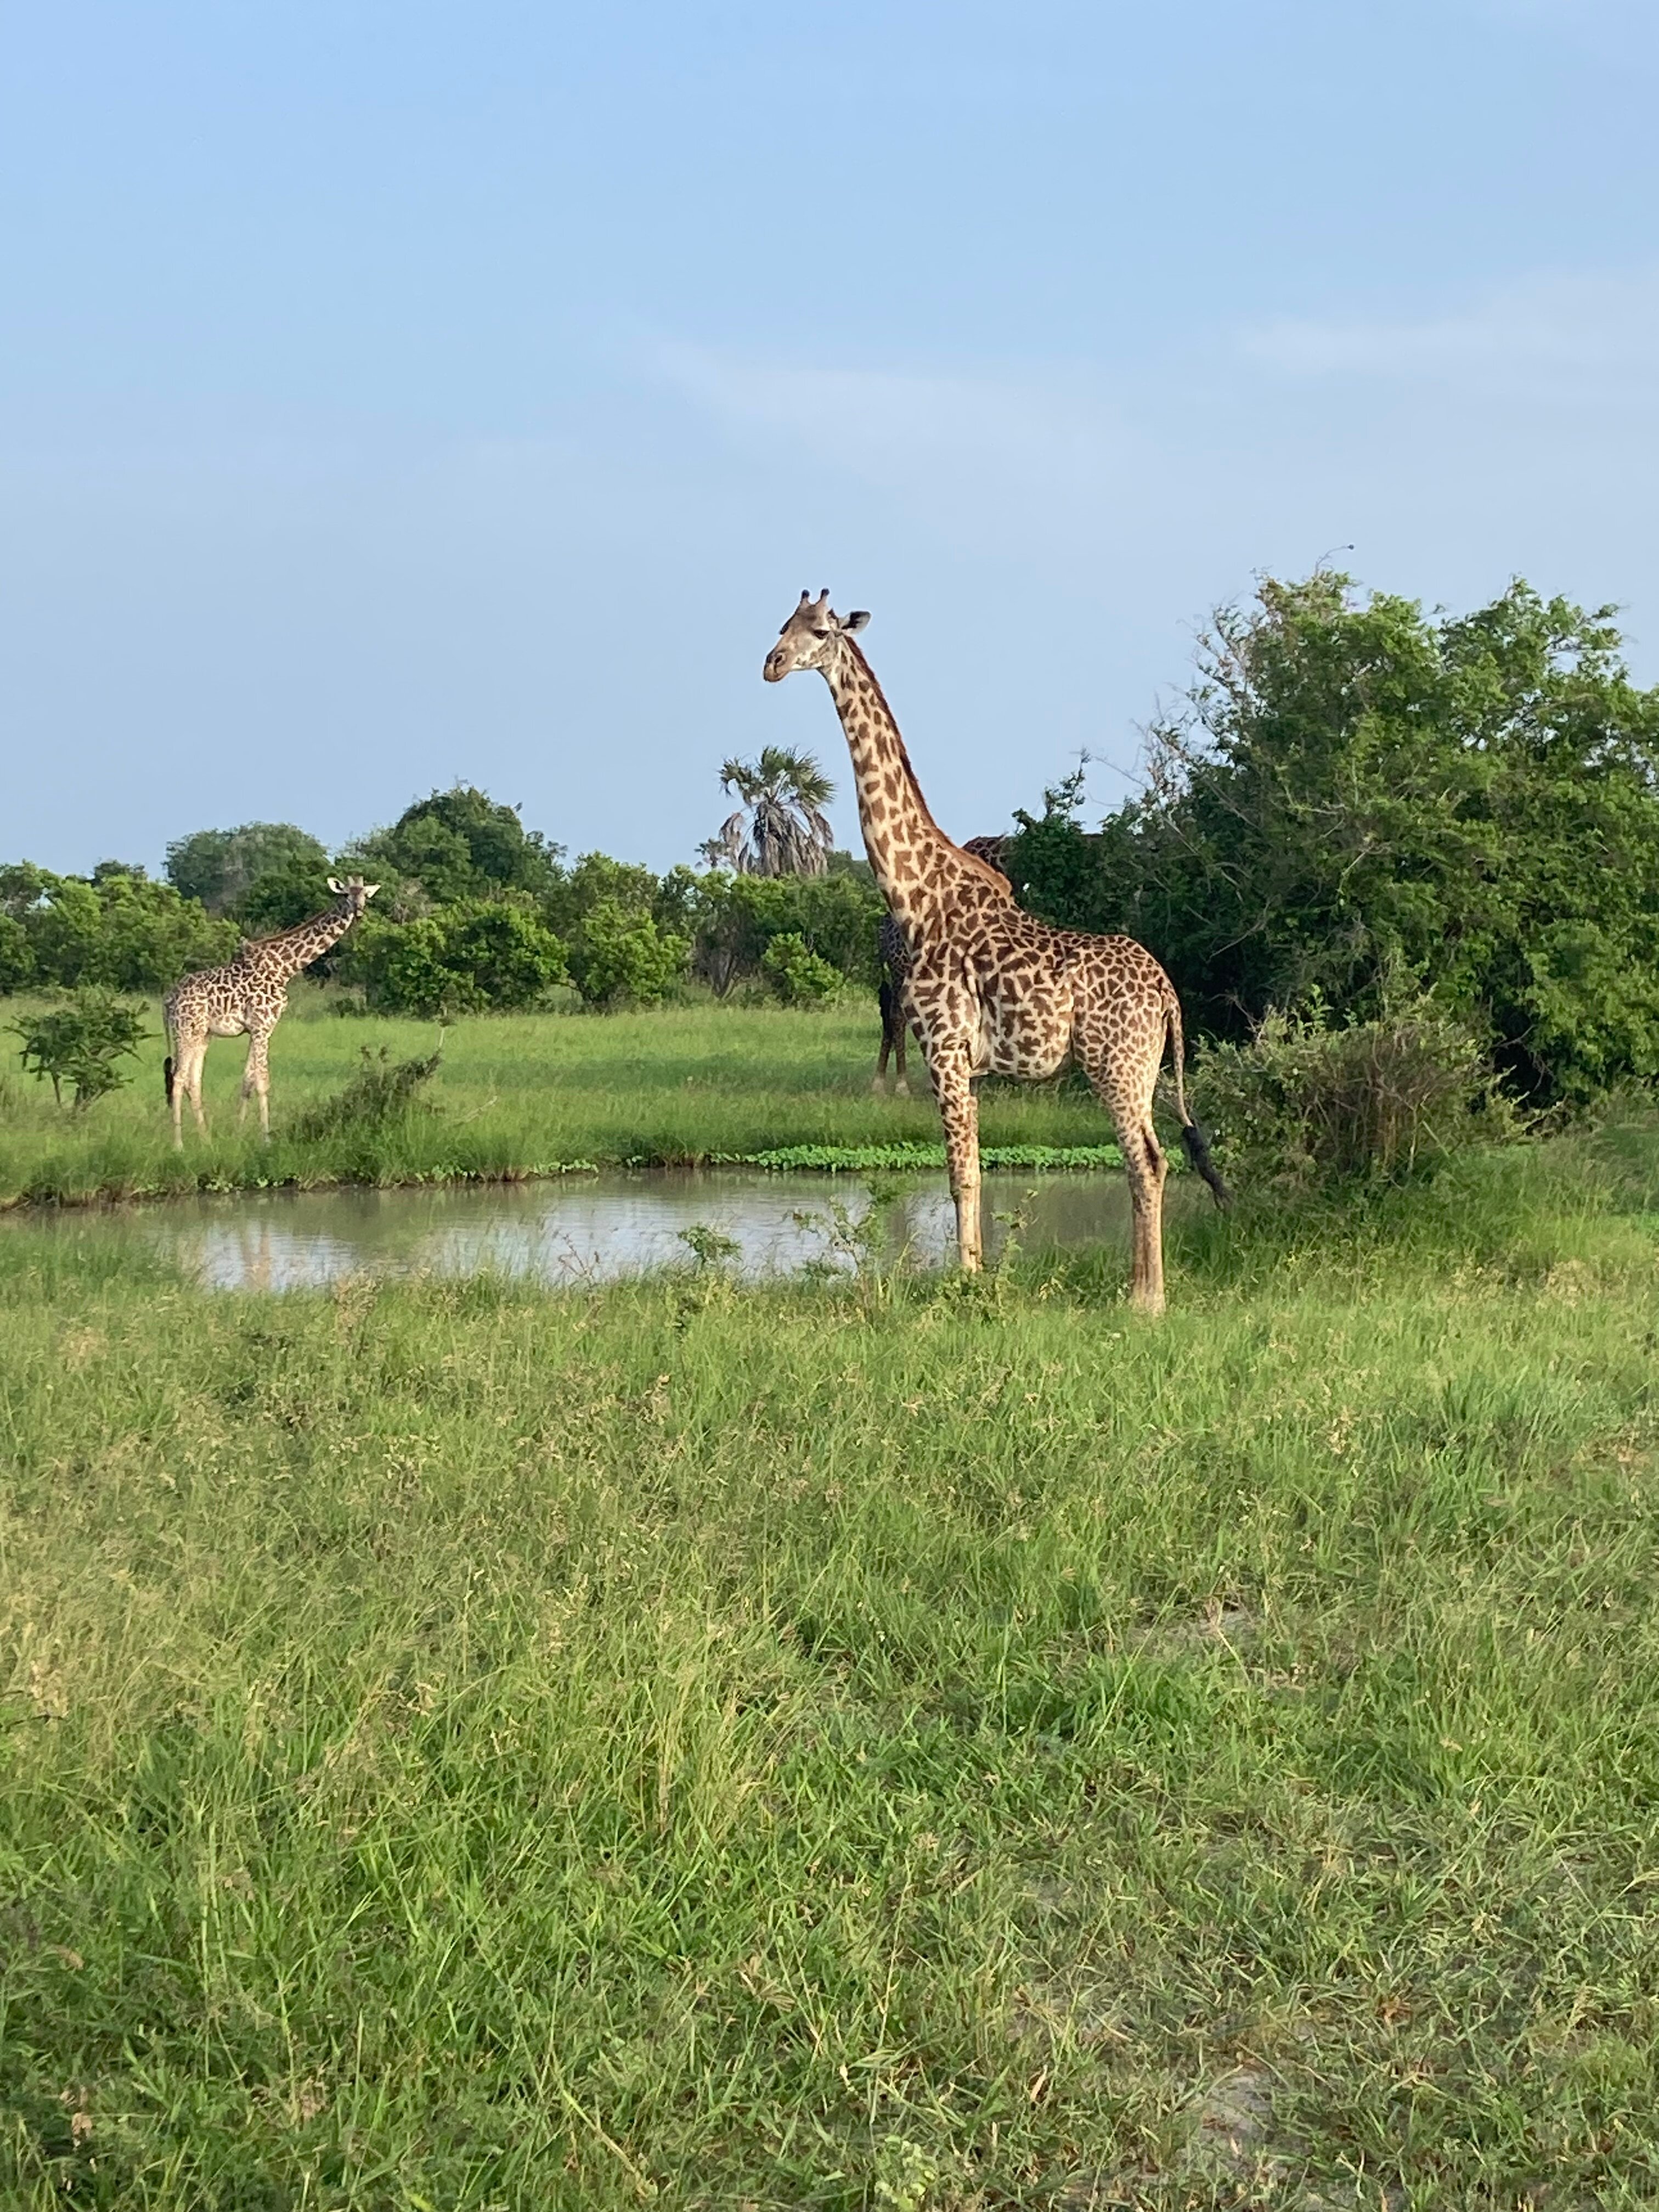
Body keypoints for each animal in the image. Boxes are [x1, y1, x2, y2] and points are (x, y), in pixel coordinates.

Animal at [163, 871, 380, 1150]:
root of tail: (169, 998)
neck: (285, 968)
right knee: (178, 1079)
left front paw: (239, 1134)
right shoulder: (263, 1025)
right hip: (185, 1031)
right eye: (345, 894)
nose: (359, 912)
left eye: (365, 895)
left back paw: (206, 1140)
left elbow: (247, 1081)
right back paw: (179, 1146)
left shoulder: (258, 1029)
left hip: (203, 1035)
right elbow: (263, 1082)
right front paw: (266, 1139)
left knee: (193, 1081)